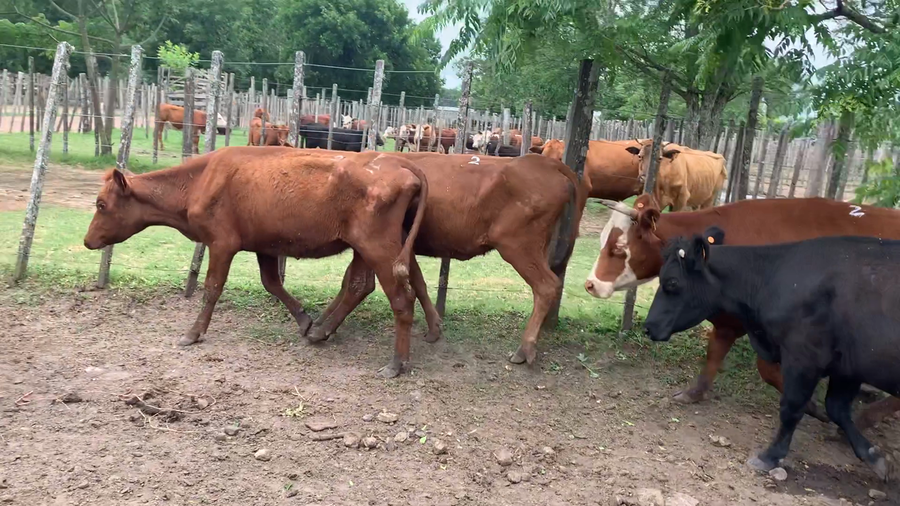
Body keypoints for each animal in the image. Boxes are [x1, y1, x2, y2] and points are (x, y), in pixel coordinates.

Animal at [83, 148, 428, 378]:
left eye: (101, 204)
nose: (87, 241)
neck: (202, 178)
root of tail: (399, 162)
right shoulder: (266, 246)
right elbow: (272, 283)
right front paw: (304, 320)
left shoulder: (221, 244)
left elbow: (212, 288)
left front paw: (193, 333)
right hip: (364, 249)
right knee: (359, 285)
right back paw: (321, 331)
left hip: (379, 250)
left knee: (402, 299)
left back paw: (396, 363)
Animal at [285, 149, 589, 369]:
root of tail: (543, 163)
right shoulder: (405, 248)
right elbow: (418, 282)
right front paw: (434, 329)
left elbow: (355, 281)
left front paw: (320, 325)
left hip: (518, 247)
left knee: (546, 286)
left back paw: (524, 350)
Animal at [584, 193, 900, 428]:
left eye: (618, 247)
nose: (590, 284)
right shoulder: (729, 321)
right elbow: (714, 354)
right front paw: (694, 393)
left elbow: (766, 369)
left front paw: (810, 405)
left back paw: (866, 417)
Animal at [643, 231, 900, 481]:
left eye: (672, 282)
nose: (647, 326)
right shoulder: (846, 367)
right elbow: (837, 408)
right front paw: (876, 458)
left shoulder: (803, 357)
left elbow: (791, 407)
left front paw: (770, 456)